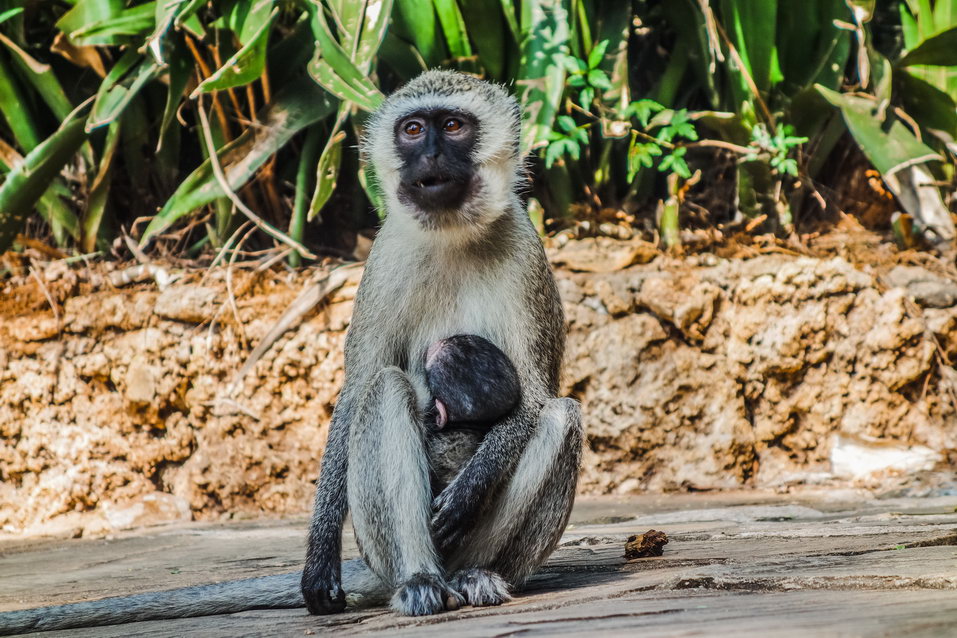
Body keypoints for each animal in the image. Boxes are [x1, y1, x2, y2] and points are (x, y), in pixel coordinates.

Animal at [302, 71, 580, 620]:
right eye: (413, 129)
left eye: (452, 126)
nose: (429, 155)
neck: (451, 234)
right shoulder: (383, 258)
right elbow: (358, 389)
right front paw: (320, 559)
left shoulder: (527, 255)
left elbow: (535, 398)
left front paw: (470, 488)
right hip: (379, 548)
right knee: (385, 387)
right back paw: (419, 580)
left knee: (561, 415)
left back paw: (478, 574)